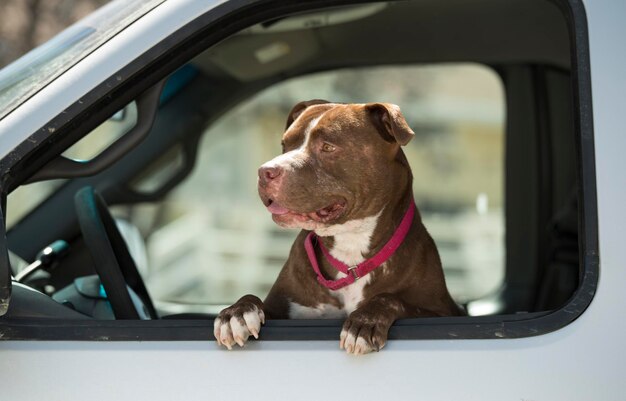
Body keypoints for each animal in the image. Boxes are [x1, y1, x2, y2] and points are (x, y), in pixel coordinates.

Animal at [214, 99, 464, 354]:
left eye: (327, 147)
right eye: (285, 144)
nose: (265, 171)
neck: (350, 249)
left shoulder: (442, 312)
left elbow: (390, 298)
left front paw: (364, 322)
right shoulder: (283, 308)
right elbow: (253, 298)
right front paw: (236, 313)